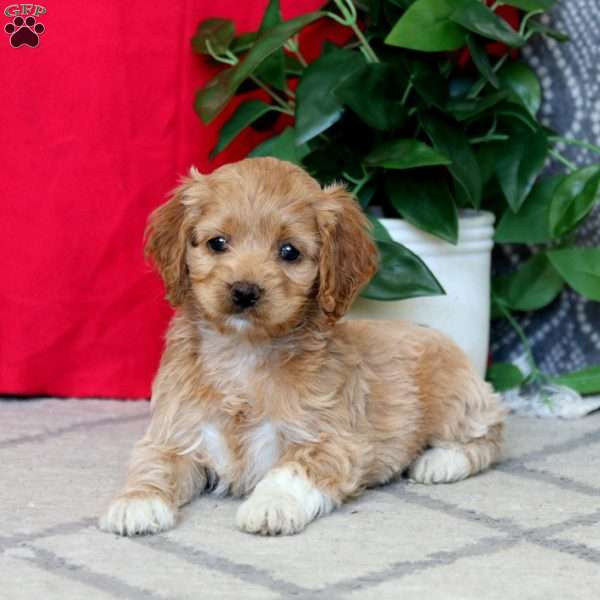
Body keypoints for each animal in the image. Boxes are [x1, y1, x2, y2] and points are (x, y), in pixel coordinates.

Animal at [99, 157, 506, 536]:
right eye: (218, 243)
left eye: (289, 251)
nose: (244, 291)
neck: (243, 353)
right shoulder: (175, 430)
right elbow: (153, 463)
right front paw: (137, 503)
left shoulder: (330, 440)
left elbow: (290, 471)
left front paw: (270, 505)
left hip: (455, 398)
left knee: (489, 434)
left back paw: (440, 462)